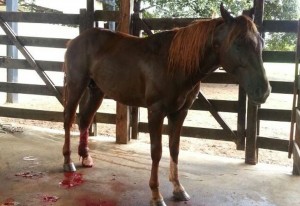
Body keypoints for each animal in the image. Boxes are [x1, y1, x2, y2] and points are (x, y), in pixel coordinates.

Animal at [62, 4, 270, 206]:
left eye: (260, 42)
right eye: (238, 43)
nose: (264, 91)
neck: (174, 63)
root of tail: (75, 40)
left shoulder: (180, 112)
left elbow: (174, 148)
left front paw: (178, 189)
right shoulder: (156, 112)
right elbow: (157, 152)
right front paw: (156, 195)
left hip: (97, 91)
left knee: (84, 120)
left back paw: (85, 157)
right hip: (76, 85)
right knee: (68, 119)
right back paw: (67, 162)